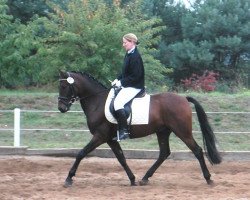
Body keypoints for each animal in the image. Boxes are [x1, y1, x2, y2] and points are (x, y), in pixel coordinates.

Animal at [57, 70, 222, 188]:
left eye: (64, 87)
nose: (61, 108)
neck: (97, 101)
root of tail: (183, 98)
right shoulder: (110, 139)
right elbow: (121, 158)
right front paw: (132, 179)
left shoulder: (100, 136)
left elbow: (81, 153)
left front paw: (69, 178)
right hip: (163, 132)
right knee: (164, 153)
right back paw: (144, 178)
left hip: (182, 131)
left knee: (197, 151)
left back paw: (208, 179)